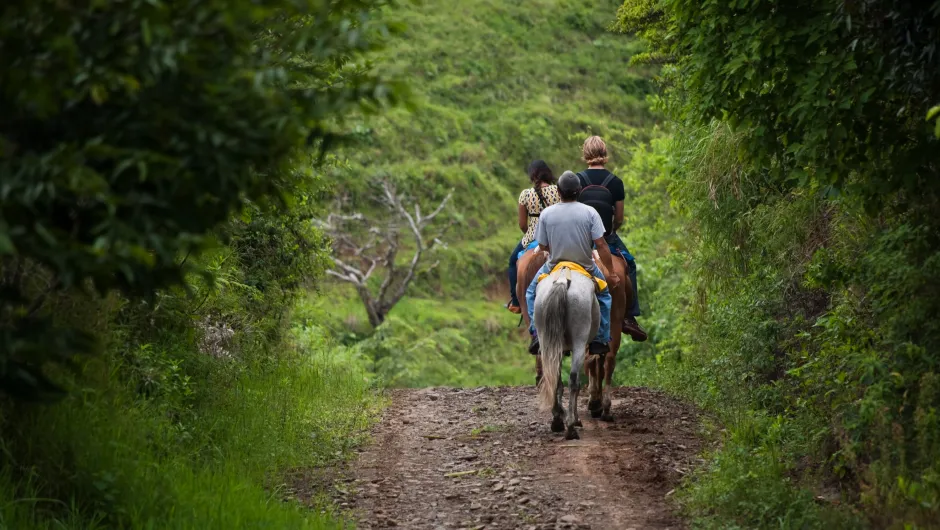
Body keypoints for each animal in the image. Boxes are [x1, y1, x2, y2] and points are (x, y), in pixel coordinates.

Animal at [532, 264, 600, 438]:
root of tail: (563, 280)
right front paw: (575, 419)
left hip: (546, 340)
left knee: (553, 377)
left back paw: (557, 419)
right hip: (580, 341)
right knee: (574, 380)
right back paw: (570, 427)